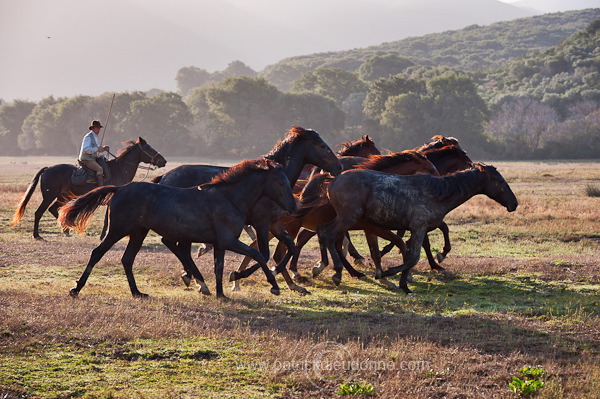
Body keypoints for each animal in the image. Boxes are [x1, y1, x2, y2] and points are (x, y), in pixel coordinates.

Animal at [11, 138, 165, 239]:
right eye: (149, 148)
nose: (163, 161)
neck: (120, 169)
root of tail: (47, 169)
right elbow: (107, 219)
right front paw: (103, 236)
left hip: (63, 196)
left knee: (54, 209)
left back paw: (67, 229)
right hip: (49, 196)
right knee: (39, 212)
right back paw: (37, 235)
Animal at [57, 159, 296, 300]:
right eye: (281, 183)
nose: (294, 207)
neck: (229, 198)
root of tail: (119, 188)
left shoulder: (220, 243)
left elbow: (219, 267)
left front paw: (220, 294)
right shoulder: (229, 241)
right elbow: (258, 254)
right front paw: (273, 285)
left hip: (138, 232)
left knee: (127, 259)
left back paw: (137, 292)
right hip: (118, 230)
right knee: (98, 253)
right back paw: (76, 288)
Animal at [152, 126, 342, 296]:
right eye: (322, 145)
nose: (339, 166)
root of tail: (164, 177)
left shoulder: (274, 223)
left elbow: (290, 247)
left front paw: (276, 274)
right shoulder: (261, 223)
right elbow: (263, 253)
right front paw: (240, 275)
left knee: (177, 246)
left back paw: (194, 278)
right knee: (175, 244)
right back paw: (198, 280)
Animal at [316, 164, 516, 296]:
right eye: (499, 180)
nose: (514, 203)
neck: (437, 194)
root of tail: (332, 181)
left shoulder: (420, 228)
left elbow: (411, 252)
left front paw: (404, 284)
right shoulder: (419, 228)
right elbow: (413, 257)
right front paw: (387, 273)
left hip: (344, 219)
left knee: (322, 231)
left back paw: (323, 267)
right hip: (348, 218)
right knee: (328, 234)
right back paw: (337, 273)